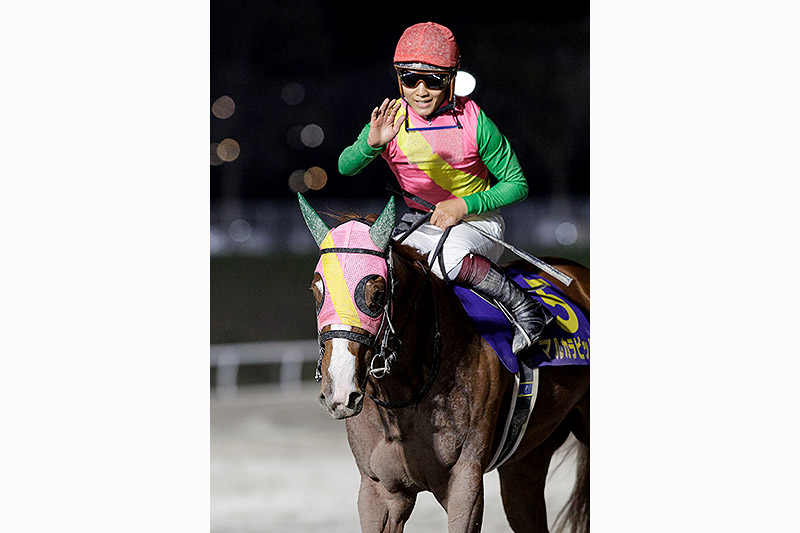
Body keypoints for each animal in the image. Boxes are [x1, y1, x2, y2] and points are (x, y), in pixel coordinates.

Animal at [299, 194, 589, 533]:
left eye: (377, 294)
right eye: (317, 291)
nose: (340, 391)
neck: (406, 393)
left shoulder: (464, 483)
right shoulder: (379, 491)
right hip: (525, 462)